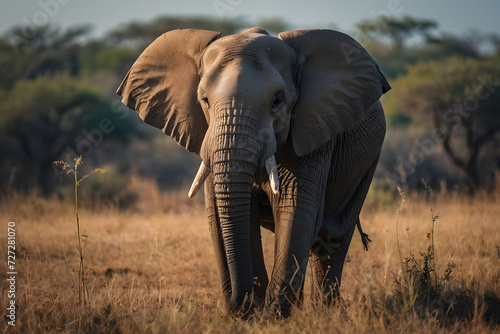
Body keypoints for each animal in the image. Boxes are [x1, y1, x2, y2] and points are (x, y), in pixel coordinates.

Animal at [116, 27, 390, 320]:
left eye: (277, 101)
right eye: (204, 100)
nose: (234, 304)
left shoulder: (314, 129)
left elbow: (295, 209)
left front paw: (273, 317)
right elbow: (230, 214)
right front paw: (252, 314)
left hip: (367, 160)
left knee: (332, 240)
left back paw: (326, 313)